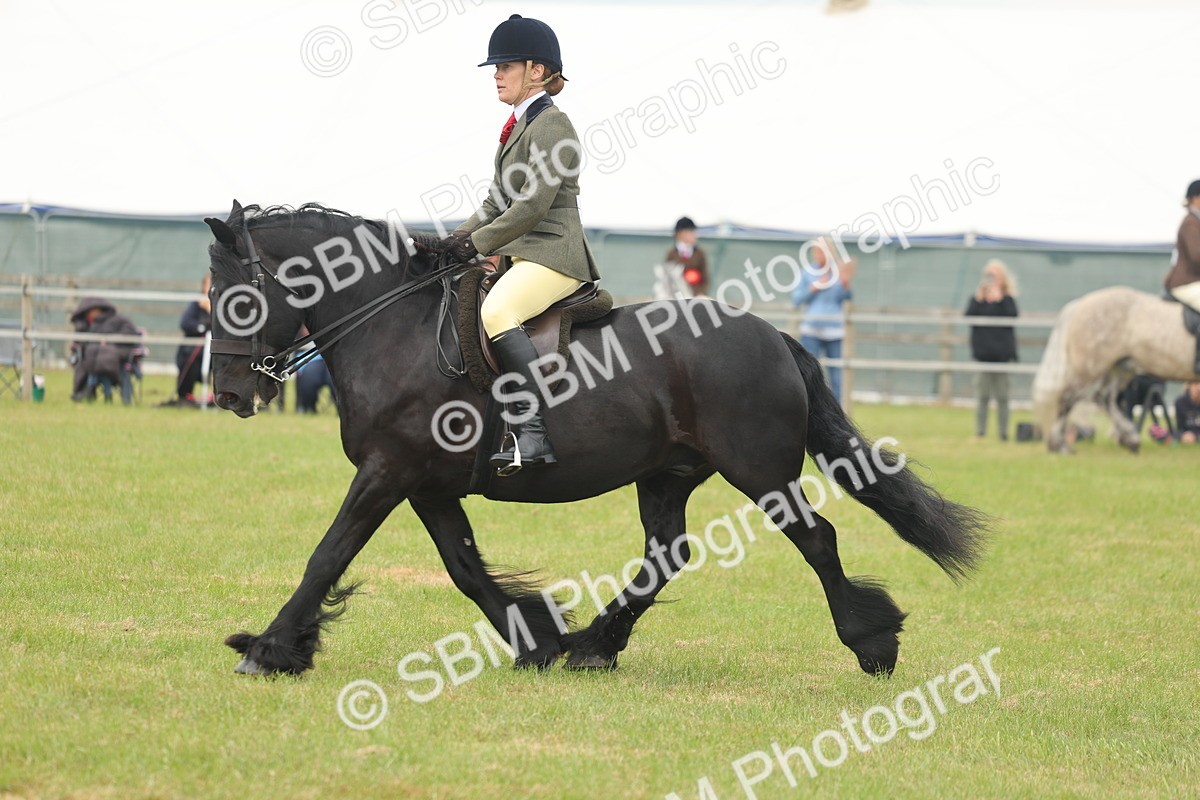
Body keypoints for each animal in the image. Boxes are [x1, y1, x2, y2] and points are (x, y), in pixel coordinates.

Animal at [204, 201, 988, 678]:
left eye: (236, 299)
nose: (230, 395)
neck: (393, 328)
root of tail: (773, 336)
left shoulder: (387, 472)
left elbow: (327, 554)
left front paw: (267, 649)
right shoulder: (423, 483)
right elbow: (463, 567)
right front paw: (538, 640)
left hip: (759, 471)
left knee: (816, 539)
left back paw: (871, 641)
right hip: (669, 473)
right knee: (666, 553)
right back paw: (593, 646)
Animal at [1032, 286, 1198, 453]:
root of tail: (1080, 304)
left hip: (1117, 368)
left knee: (1104, 398)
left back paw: (1129, 438)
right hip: (1091, 368)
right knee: (1068, 397)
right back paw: (1060, 446)